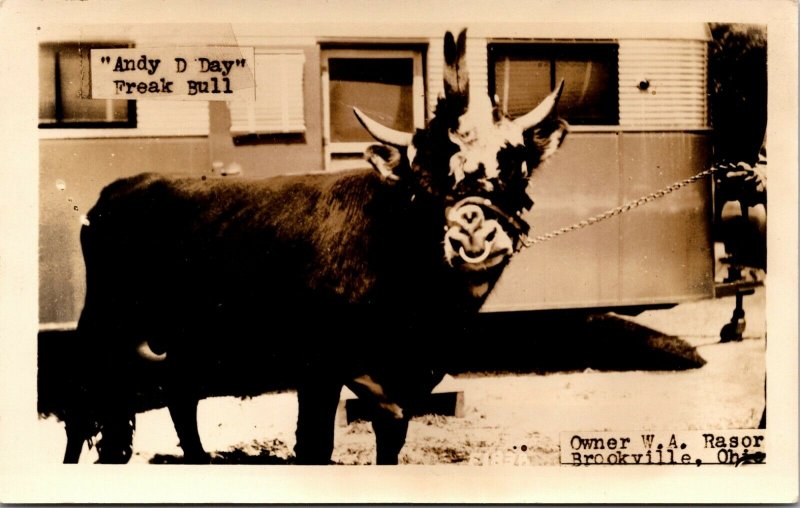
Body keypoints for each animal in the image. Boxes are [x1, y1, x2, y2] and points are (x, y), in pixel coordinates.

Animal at [59, 30, 564, 464]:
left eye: (516, 166)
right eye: (423, 180)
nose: (473, 233)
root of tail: (120, 189)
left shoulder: (403, 385)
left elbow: (390, 446)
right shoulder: (318, 369)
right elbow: (314, 447)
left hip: (182, 341)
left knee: (176, 399)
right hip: (100, 323)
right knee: (83, 410)